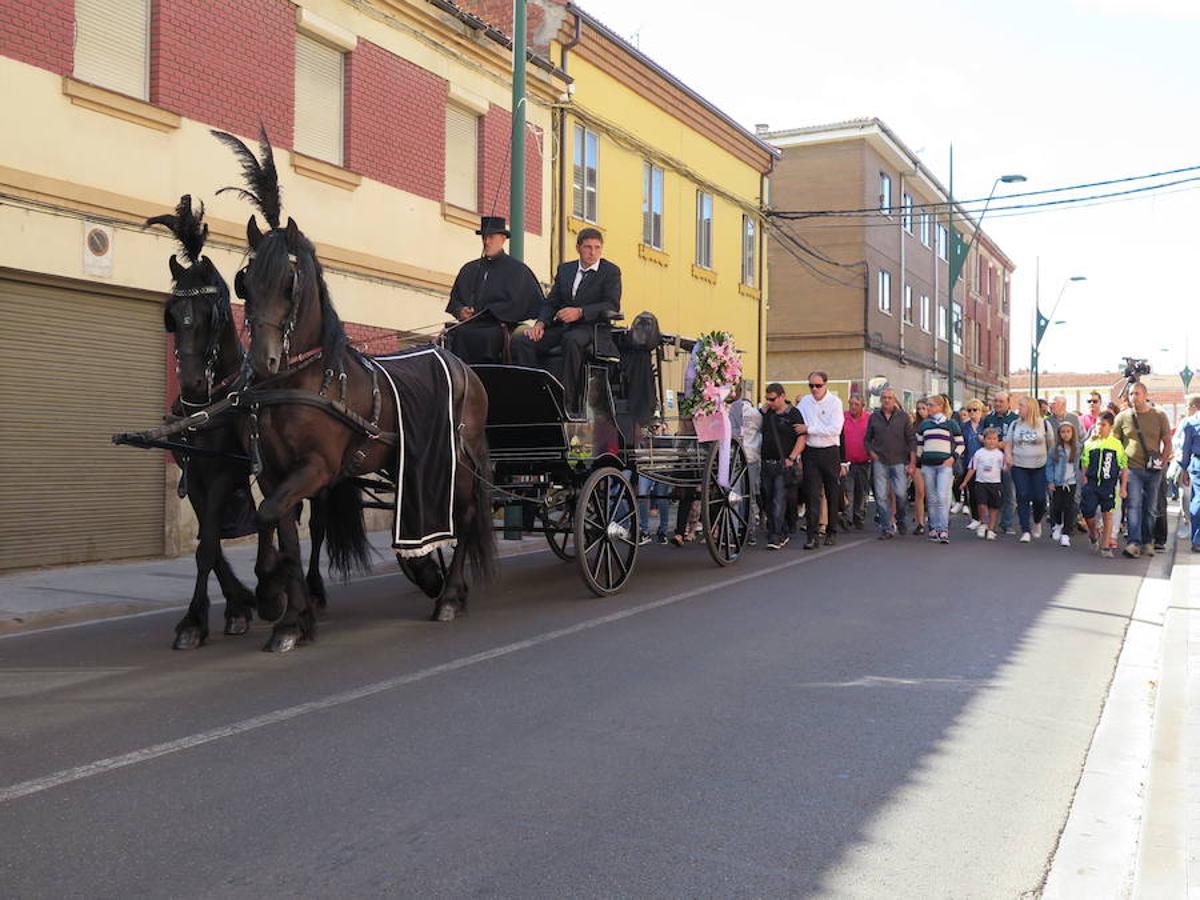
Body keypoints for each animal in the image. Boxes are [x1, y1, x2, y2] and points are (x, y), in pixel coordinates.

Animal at [147, 196, 331, 648]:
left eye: (212, 313)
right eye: (172, 314)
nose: (193, 382)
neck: (209, 403)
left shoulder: (223, 474)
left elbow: (211, 545)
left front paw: (214, 614)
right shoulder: (196, 476)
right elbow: (208, 544)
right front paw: (236, 603)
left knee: (315, 526)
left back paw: (308, 589)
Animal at [213, 127, 494, 652]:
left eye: (290, 281)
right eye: (244, 281)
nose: (263, 361)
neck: (299, 379)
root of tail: (463, 365)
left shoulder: (318, 467)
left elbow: (270, 519)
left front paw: (272, 597)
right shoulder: (274, 472)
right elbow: (279, 527)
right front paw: (291, 617)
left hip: (460, 464)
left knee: (465, 516)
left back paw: (449, 595)